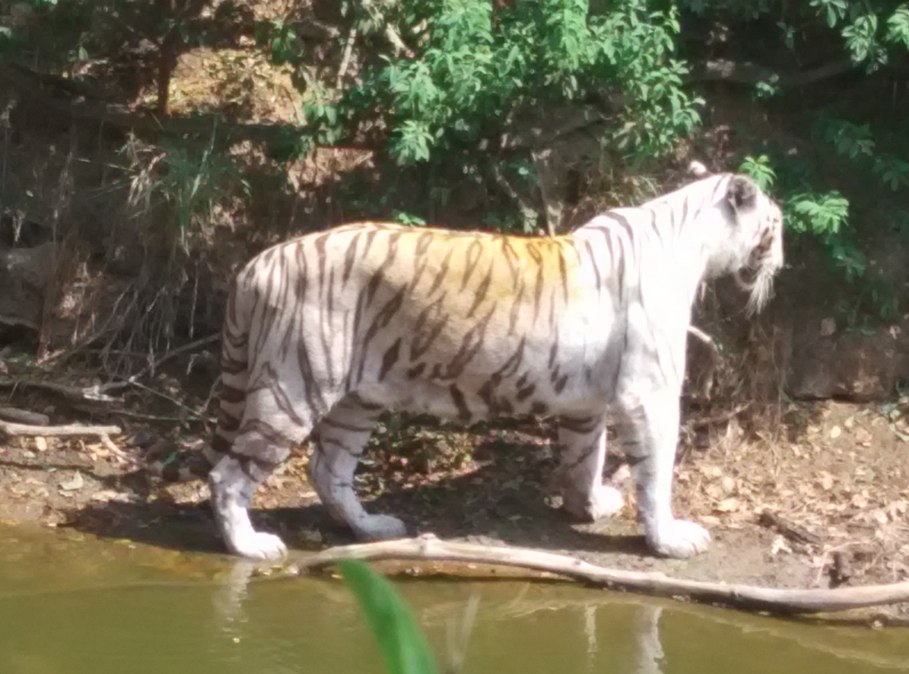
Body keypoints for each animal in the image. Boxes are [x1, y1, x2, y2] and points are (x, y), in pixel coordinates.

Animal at [154, 168, 780, 556]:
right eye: (774, 225)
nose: (784, 256)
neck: (692, 242)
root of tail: (256, 265)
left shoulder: (589, 401)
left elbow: (586, 454)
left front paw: (589, 505)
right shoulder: (647, 392)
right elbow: (655, 470)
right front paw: (669, 538)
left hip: (356, 399)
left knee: (327, 469)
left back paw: (373, 527)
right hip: (292, 386)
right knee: (229, 475)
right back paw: (251, 546)